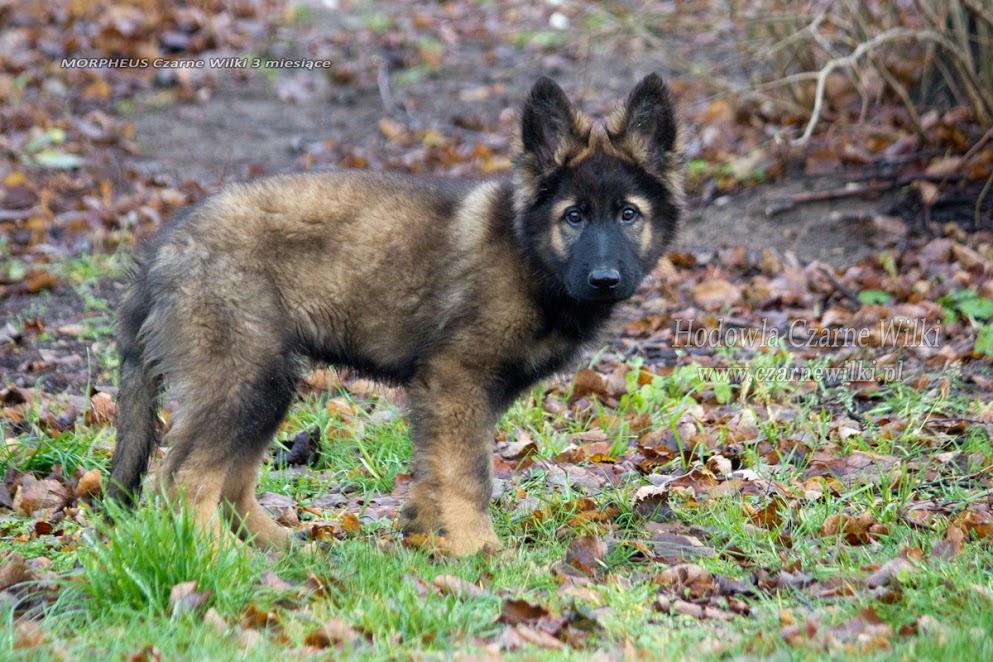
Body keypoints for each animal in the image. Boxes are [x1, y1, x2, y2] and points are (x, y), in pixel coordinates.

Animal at [109, 73, 683, 555]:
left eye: (628, 214)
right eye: (574, 216)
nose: (605, 279)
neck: (530, 253)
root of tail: (162, 252)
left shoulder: (450, 397)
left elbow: (434, 473)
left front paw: (429, 541)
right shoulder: (455, 380)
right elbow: (468, 476)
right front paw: (480, 551)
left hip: (265, 383)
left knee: (231, 480)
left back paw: (281, 548)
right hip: (244, 376)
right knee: (183, 479)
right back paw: (221, 558)